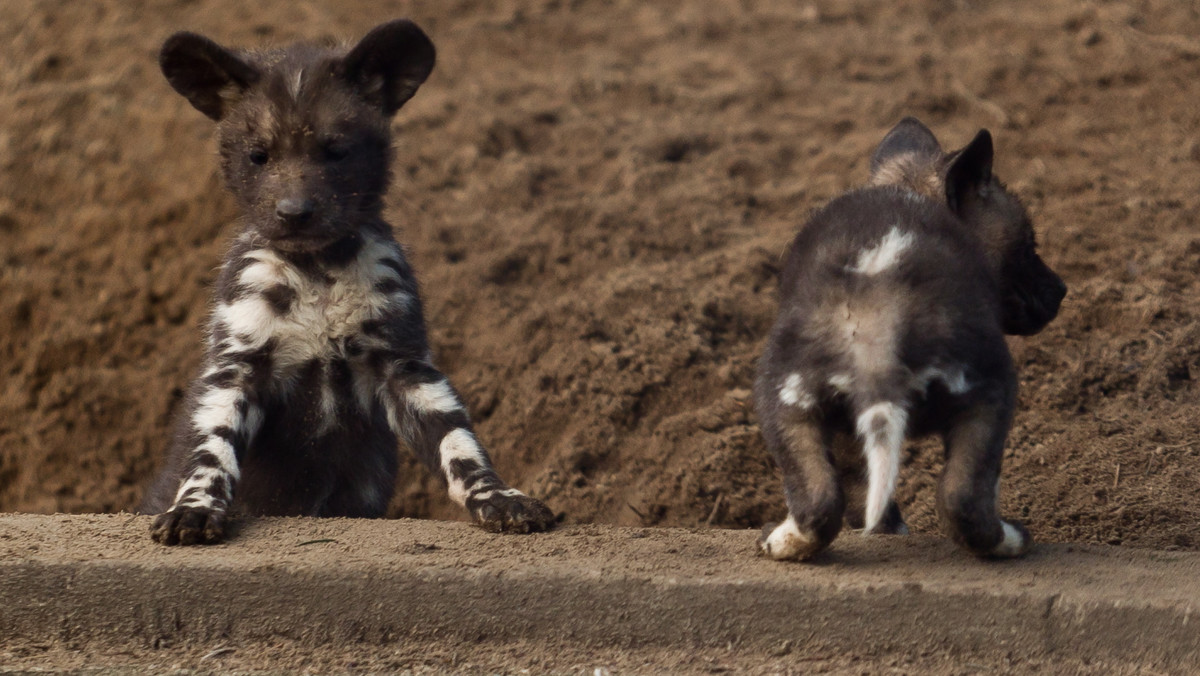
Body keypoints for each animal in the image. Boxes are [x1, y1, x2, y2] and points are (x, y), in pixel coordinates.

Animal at [138, 19, 554, 545]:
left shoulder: (405, 366)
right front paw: (194, 508)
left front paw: (497, 498)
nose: (294, 212)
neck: (318, 272)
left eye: (335, 152)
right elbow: (212, 453)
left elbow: (459, 446)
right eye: (259, 156)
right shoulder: (237, 369)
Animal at [753, 118, 1065, 564]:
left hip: (784, 402)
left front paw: (883, 529)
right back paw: (1012, 541)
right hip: (994, 393)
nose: (1061, 291)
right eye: (1028, 244)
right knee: (966, 496)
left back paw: (781, 541)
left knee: (823, 501)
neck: (911, 187)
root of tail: (879, 305)